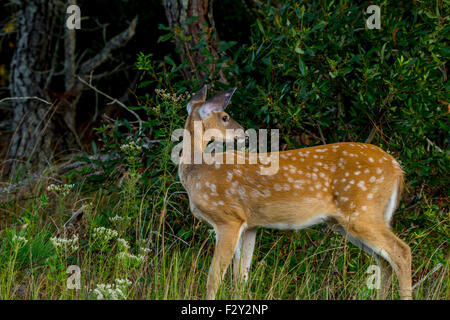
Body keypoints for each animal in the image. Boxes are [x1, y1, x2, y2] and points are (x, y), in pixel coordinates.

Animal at [178, 85, 414, 300]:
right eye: (225, 116)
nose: (245, 134)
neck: (197, 169)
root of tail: (397, 168)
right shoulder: (250, 224)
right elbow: (241, 277)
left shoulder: (228, 218)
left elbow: (214, 276)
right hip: (349, 220)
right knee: (384, 261)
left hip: (362, 211)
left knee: (401, 252)